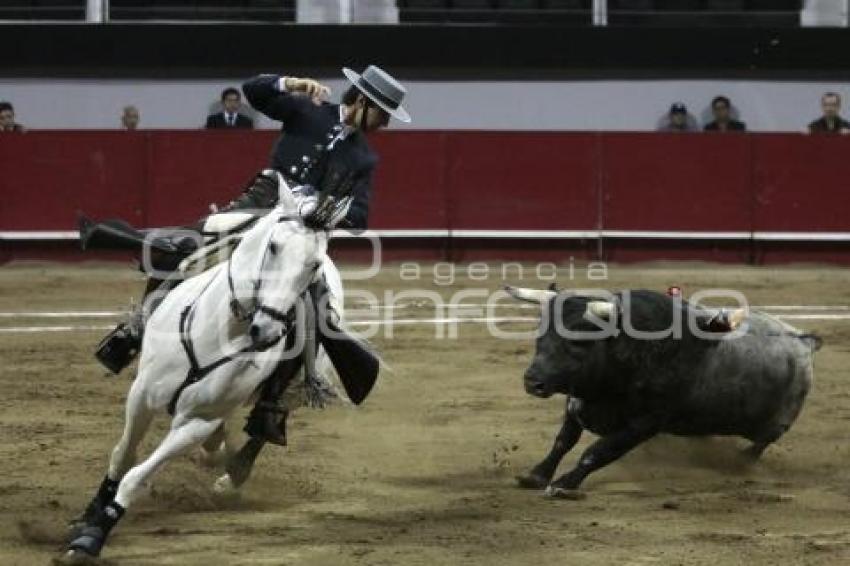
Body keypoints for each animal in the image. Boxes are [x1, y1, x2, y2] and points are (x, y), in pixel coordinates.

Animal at [57, 180, 342, 560]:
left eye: (313, 265)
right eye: (274, 247)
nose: (267, 331)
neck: (221, 330)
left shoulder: (197, 421)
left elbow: (137, 475)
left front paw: (93, 536)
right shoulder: (141, 394)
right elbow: (123, 455)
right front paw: (89, 515)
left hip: (297, 388)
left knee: (263, 427)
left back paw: (232, 475)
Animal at [506, 288, 820, 496]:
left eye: (577, 341)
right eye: (540, 336)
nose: (532, 382)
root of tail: (803, 341)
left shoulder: (644, 424)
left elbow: (597, 452)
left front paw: (562, 485)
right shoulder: (577, 404)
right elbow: (563, 442)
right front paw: (535, 475)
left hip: (776, 425)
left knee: (760, 444)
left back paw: (740, 462)